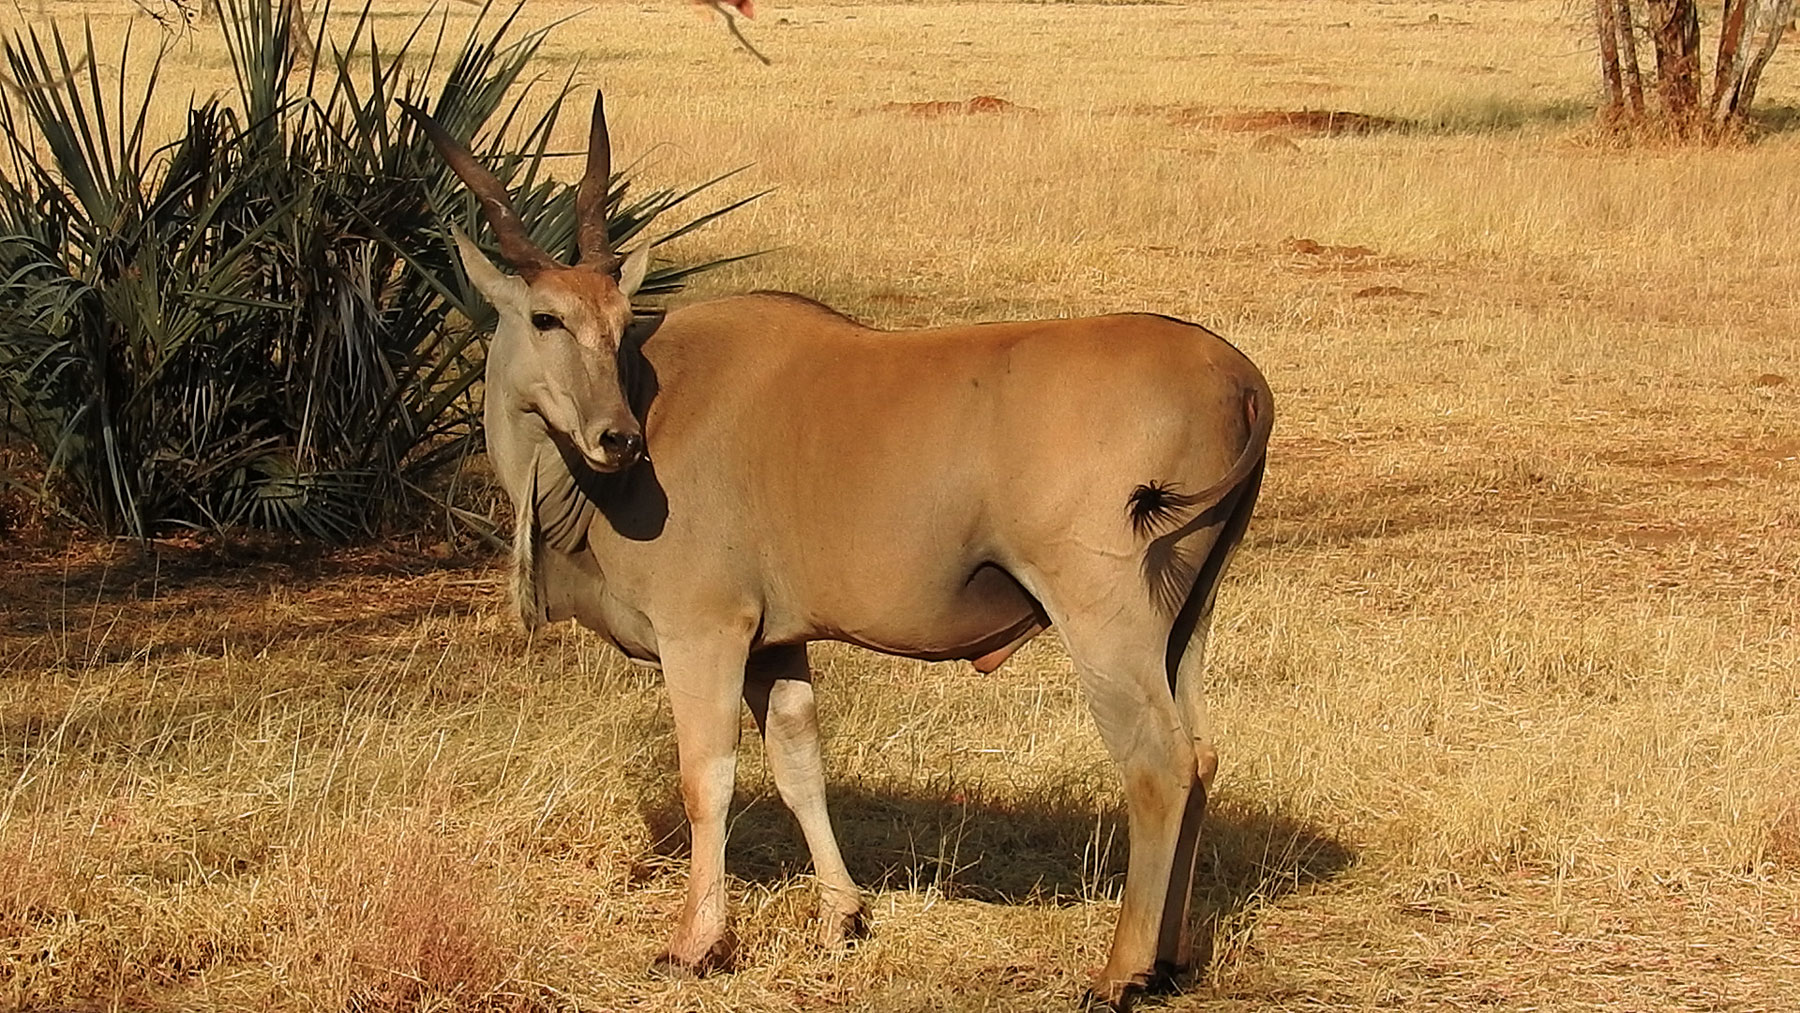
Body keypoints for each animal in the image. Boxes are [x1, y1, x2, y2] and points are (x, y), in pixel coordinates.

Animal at [405, 93, 1281, 1007]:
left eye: (617, 326)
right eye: (547, 318)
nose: (618, 439)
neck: (651, 398)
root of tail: (1243, 378)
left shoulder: (705, 632)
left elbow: (707, 776)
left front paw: (696, 942)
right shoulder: (777, 644)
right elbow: (800, 766)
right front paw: (843, 916)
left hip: (1105, 618)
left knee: (1159, 764)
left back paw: (1119, 971)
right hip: (1185, 619)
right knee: (1202, 756)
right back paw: (1172, 958)